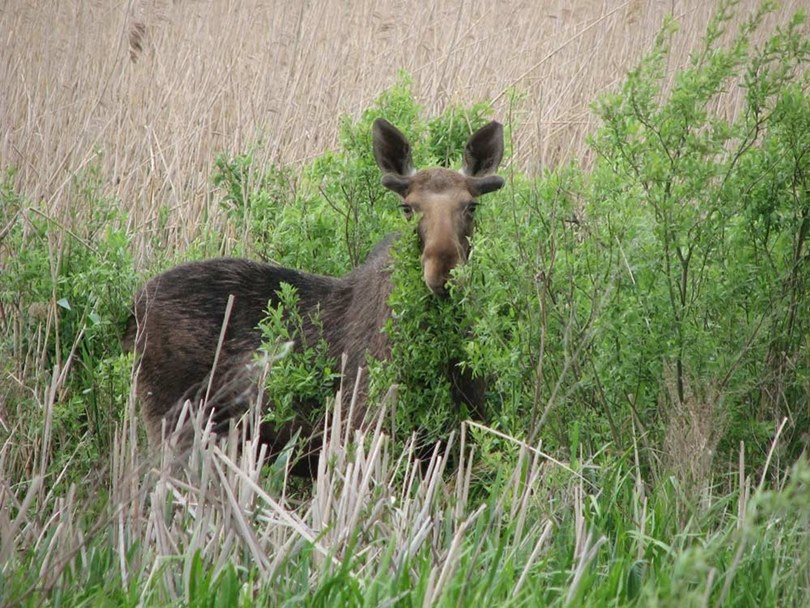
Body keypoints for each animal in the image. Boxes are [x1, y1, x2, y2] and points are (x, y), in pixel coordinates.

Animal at [124, 116, 504, 472]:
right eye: (407, 207)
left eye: (471, 206)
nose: (444, 270)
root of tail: (135, 307)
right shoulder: (362, 428)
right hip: (173, 425)